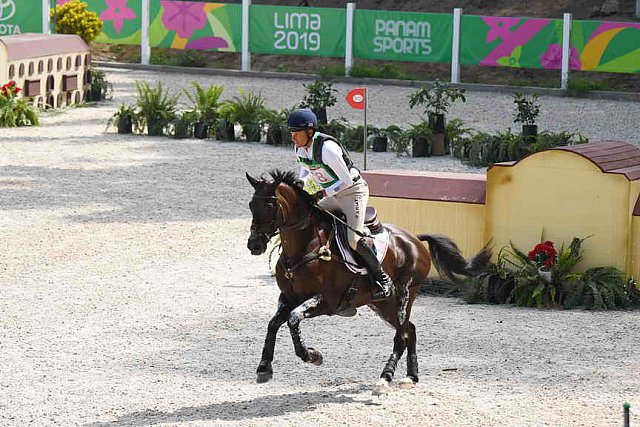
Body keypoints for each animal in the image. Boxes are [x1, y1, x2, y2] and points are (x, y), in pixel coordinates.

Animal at [246, 170, 490, 394]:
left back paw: (385, 379)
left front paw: (312, 356)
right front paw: (264, 368)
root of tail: (414, 239)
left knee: (401, 336)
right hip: (382, 304)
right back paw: (411, 377)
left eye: (270, 205)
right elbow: (273, 323)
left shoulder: (326, 302)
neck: (302, 249)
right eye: (250, 205)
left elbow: (293, 319)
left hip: (405, 294)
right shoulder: (288, 297)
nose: (254, 245)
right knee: (410, 329)